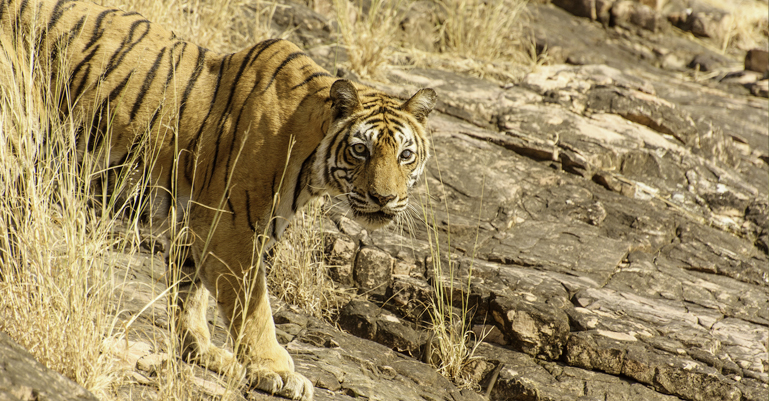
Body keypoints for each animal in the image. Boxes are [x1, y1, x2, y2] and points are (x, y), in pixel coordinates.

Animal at [0, 0, 436, 400]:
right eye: (361, 150)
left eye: (405, 155)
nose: (385, 198)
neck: (312, 159)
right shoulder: (232, 228)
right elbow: (254, 307)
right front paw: (276, 370)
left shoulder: (196, 221)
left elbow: (189, 290)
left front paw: (202, 352)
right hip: (15, 139)